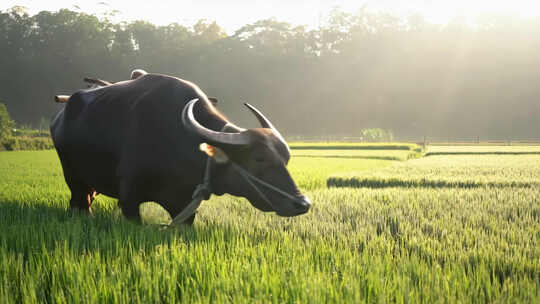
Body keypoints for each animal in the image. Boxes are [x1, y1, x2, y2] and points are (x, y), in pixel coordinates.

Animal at [51, 72, 312, 223]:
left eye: (286, 159)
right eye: (259, 158)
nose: (302, 204)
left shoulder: (185, 205)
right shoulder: (129, 199)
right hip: (72, 175)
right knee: (80, 201)